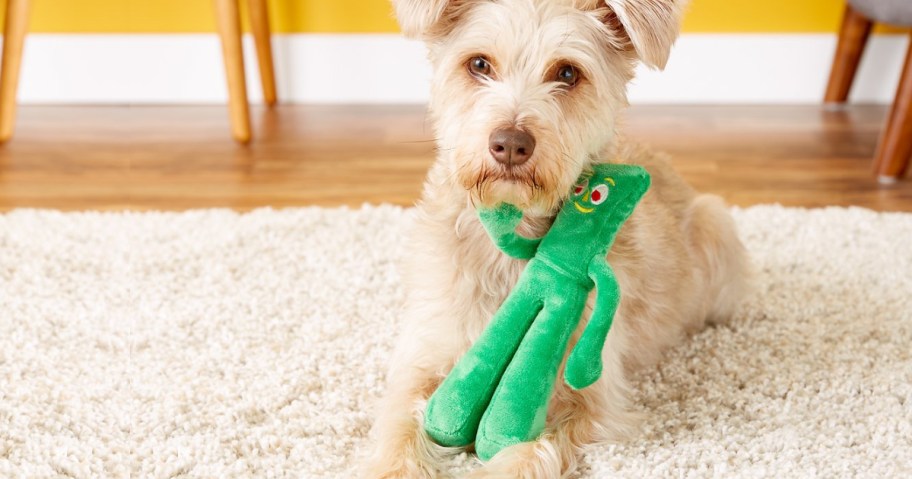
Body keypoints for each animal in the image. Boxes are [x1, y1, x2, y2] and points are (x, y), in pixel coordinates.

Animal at [366, 0, 752, 476]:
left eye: (567, 73)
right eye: (479, 64)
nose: (510, 144)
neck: (514, 239)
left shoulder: (590, 400)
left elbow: (531, 449)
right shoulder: (425, 360)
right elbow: (400, 428)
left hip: (716, 226)